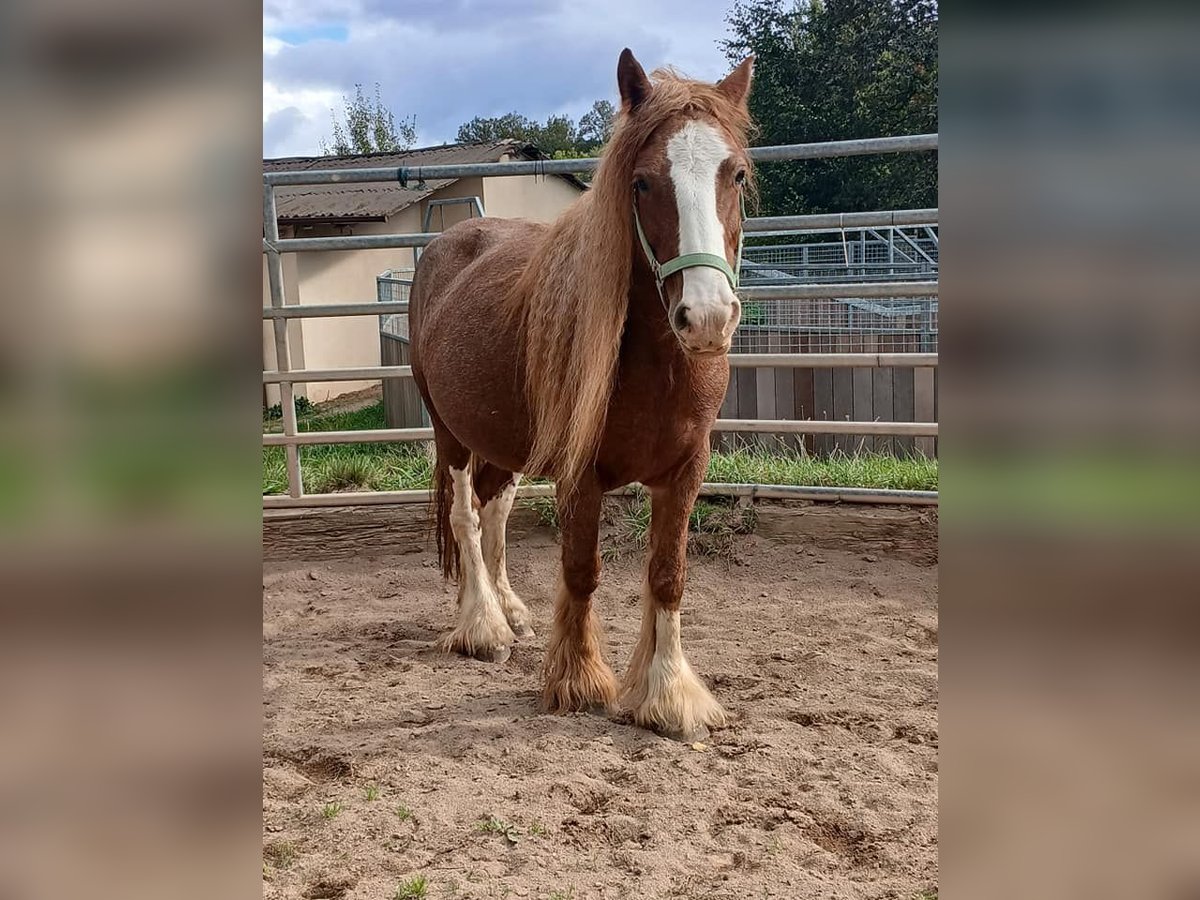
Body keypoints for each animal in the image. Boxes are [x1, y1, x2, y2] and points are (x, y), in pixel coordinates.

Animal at [408, 47, 753, 739]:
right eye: (642, 182)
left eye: (733, 175)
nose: (706, 317)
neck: (656, 368)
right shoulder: (580, 473)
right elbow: (582, 570)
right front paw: (578, 680)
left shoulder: (686, 469)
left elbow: (667, 576)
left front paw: (669, 696)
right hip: (450, 433)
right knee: (464, 516)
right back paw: (482, 626)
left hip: (502, 446)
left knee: (493, 513)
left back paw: (509, 609)